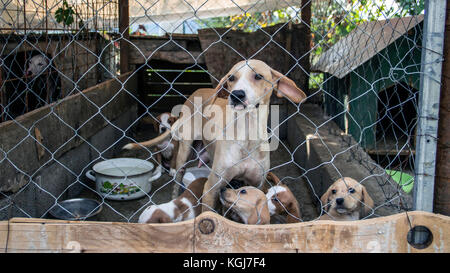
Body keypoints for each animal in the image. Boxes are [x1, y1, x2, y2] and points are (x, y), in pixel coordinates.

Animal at [123, 59, 306, 211]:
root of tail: (196, 91)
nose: (236, 95)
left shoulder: (257, 185)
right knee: (176, 183)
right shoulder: (211, 188)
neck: (247, 135)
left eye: (258, 76)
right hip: (183, 156)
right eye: (231, 78)